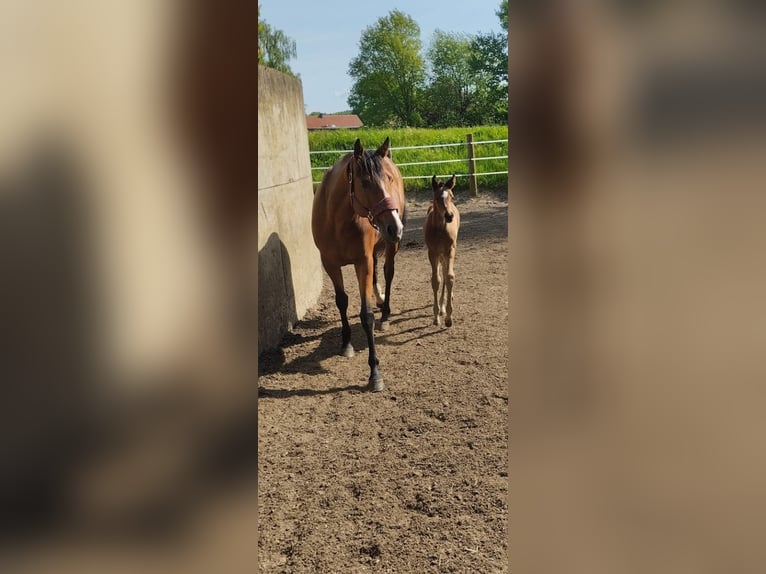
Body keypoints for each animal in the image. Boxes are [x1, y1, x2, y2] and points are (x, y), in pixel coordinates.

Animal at [312, 137, 408, 394]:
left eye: (388, 179)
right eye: (365, 183)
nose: (395, 227)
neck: (337, 220)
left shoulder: (361, 262)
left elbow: (366, 315)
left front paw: (375, 373)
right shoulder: (330, 263)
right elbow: (341, 301)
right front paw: (346, 343)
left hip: (390, 246)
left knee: (388, 273)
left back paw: (385, 314)